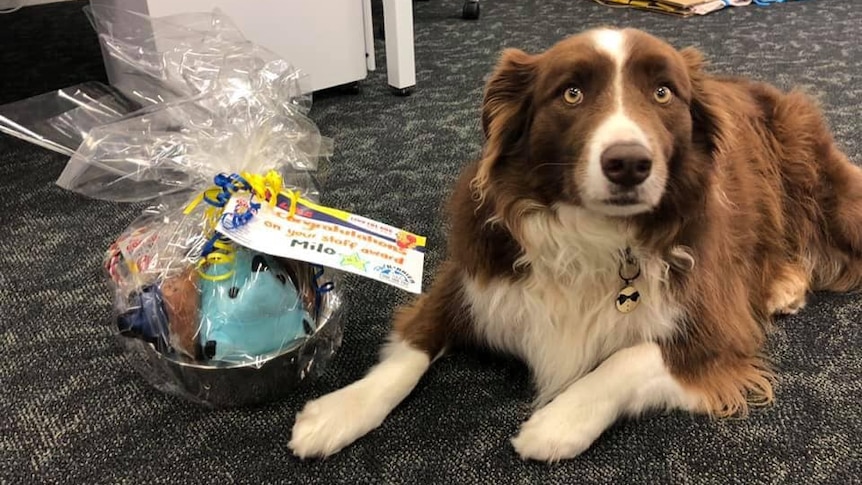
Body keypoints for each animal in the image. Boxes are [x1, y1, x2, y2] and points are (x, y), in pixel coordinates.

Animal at [288, 27, 862, 462]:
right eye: (571, 94)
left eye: (663, 93)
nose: (629, 163)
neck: (593, 233)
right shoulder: (469, 279)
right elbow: (410, 349)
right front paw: (339, 410)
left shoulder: (720, 331)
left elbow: (630, 357)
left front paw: (557, 422)